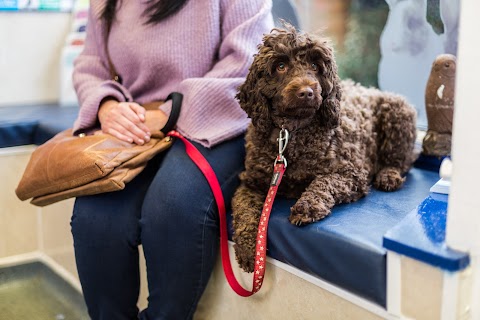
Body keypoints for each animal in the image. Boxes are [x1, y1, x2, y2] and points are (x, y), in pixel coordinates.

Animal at [231, 26, 418, 272]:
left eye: (314, 66)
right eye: (280, 66)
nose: (306, 92)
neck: (291, 134)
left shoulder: (352, 173)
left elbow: (323, 182)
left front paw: (306, 206)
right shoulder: (252, 183)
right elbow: (244, 210)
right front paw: (247, 249)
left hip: (398, 109)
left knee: (402, 160)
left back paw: (389, 176)